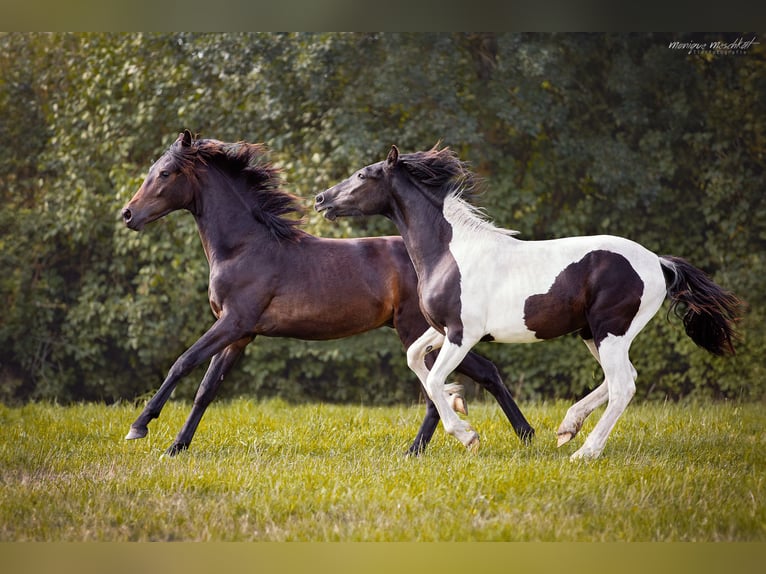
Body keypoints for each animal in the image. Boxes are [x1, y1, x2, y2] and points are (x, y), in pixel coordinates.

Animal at [120, 132, 536, 460]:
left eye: (165, 173)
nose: (127, 215)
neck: (244, 247)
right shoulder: (241, 334)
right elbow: (207, 389)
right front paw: (176, 446)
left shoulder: (234, 321)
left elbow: (182, 363)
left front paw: (139, 427)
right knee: (474, 374)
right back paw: (508, 436)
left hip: (417, 328)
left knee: (444, 382)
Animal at [316, 146, 740, 462]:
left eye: (363, 175)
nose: (321, 200)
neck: (450, 253)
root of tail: (658, 262)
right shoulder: (442, 331)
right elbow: (415, 359)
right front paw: (458, 402)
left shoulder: (462, 334)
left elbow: (433, 378)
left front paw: (467, 434)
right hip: (592, 333)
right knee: (624, 378)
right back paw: (567, 428)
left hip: (610, 331)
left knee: (623, 386)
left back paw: (584, 452)